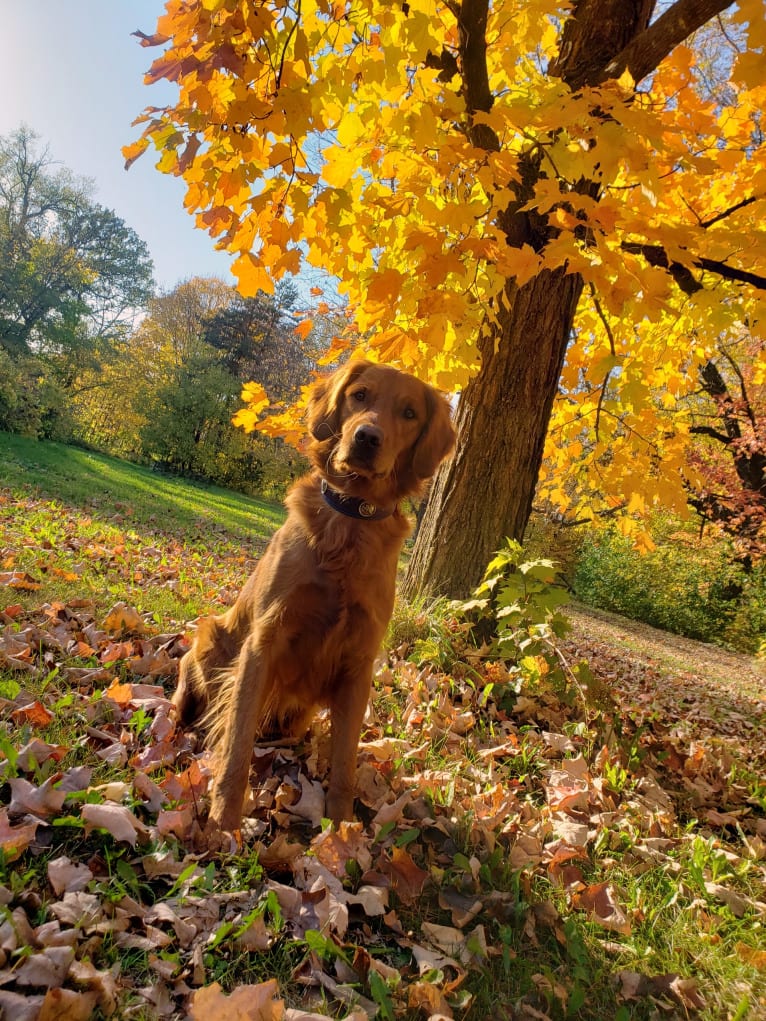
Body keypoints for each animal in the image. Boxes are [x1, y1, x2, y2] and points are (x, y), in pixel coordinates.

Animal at [173, 363, 455, 833]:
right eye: (360, 395)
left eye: (410, 413)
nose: (367, 437)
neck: (350, 522)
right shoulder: (262, 642)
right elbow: (237, 744)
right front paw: (223, 822)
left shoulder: (359, 662)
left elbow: (343, 762)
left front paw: (341, 830)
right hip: (212, 636)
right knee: (186, 680)